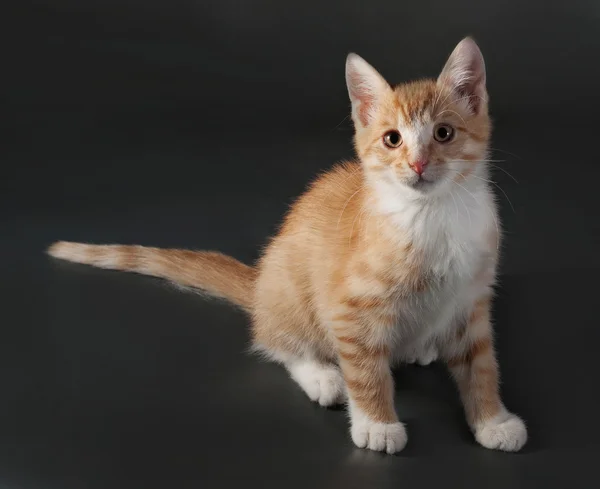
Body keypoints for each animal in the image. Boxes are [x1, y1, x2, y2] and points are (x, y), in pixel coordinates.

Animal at [48, 38, 524, 454]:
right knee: (276, 340)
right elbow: (365, 369)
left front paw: (493, 421)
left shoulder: (472, 299)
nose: (418, 164)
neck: (433, 215)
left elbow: (481, 364)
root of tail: (259, 285)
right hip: (289, 290)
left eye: (443, 133)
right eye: (393, 139)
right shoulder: (349, 308)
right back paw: (322, 377)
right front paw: (377, 424)